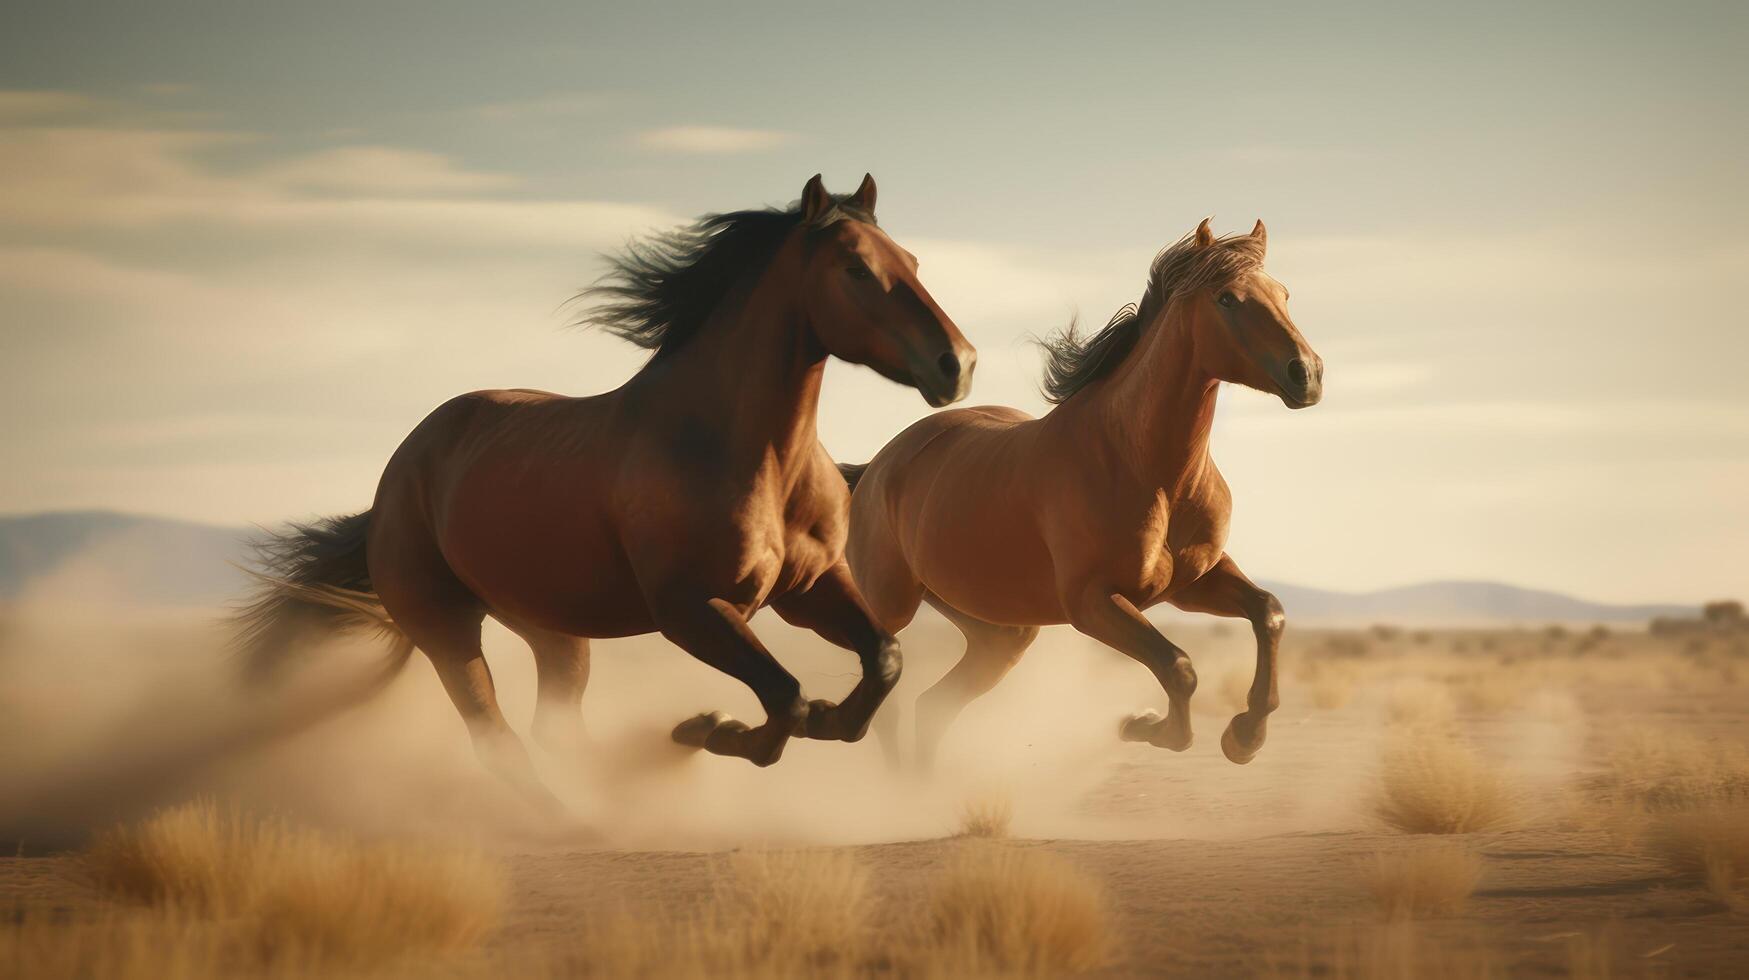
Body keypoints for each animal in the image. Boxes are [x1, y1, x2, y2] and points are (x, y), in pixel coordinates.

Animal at [234, 175, 979, 801]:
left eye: (912, 261)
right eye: (854, 268)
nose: (958, 364)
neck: (749, 455)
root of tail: (396, 478)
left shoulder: (809, 588)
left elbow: (882, 660)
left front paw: (822, 719)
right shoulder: (691, 609)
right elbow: (783, 699)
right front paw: (717, 729)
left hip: (550, 628)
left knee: (554, 730)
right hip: (446, 626)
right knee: (495, 736)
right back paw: (577, 814)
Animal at [839, 217, 1315, 770]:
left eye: (1283, 293)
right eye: (1227, 299)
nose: (1307, 373)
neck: (1149, 469)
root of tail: (876, 468)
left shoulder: (1194, 583)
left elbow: (1269, 613)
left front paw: (1245, 735)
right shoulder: (1091, 603)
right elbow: (1179, 668)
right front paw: (1140, 725)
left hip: (1001, 631)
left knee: (933, 704)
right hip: (891, 606)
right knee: (889, 703)